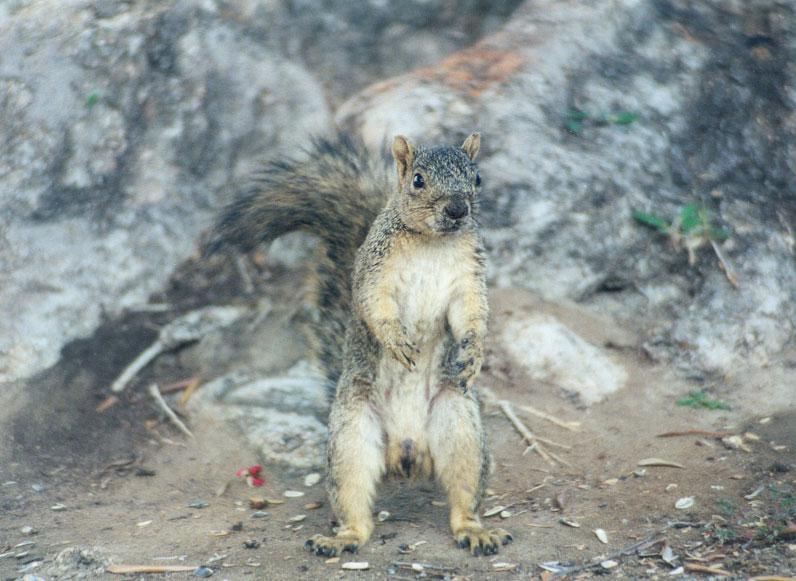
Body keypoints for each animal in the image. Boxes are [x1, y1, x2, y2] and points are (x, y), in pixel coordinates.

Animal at [208, 131, 512, 556]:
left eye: (478, 178)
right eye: (418, 180)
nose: (457, 210)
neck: (432, 244)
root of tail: (408, 450)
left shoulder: (469, 277)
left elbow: (472, 314)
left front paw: (475, 353)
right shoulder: (373, 270)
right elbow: (374, 305)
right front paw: (397, 340)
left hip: (460, 427)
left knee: (464, 494)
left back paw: (475, 530)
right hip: (351, 438)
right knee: (353, 501)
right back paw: (342, 538)